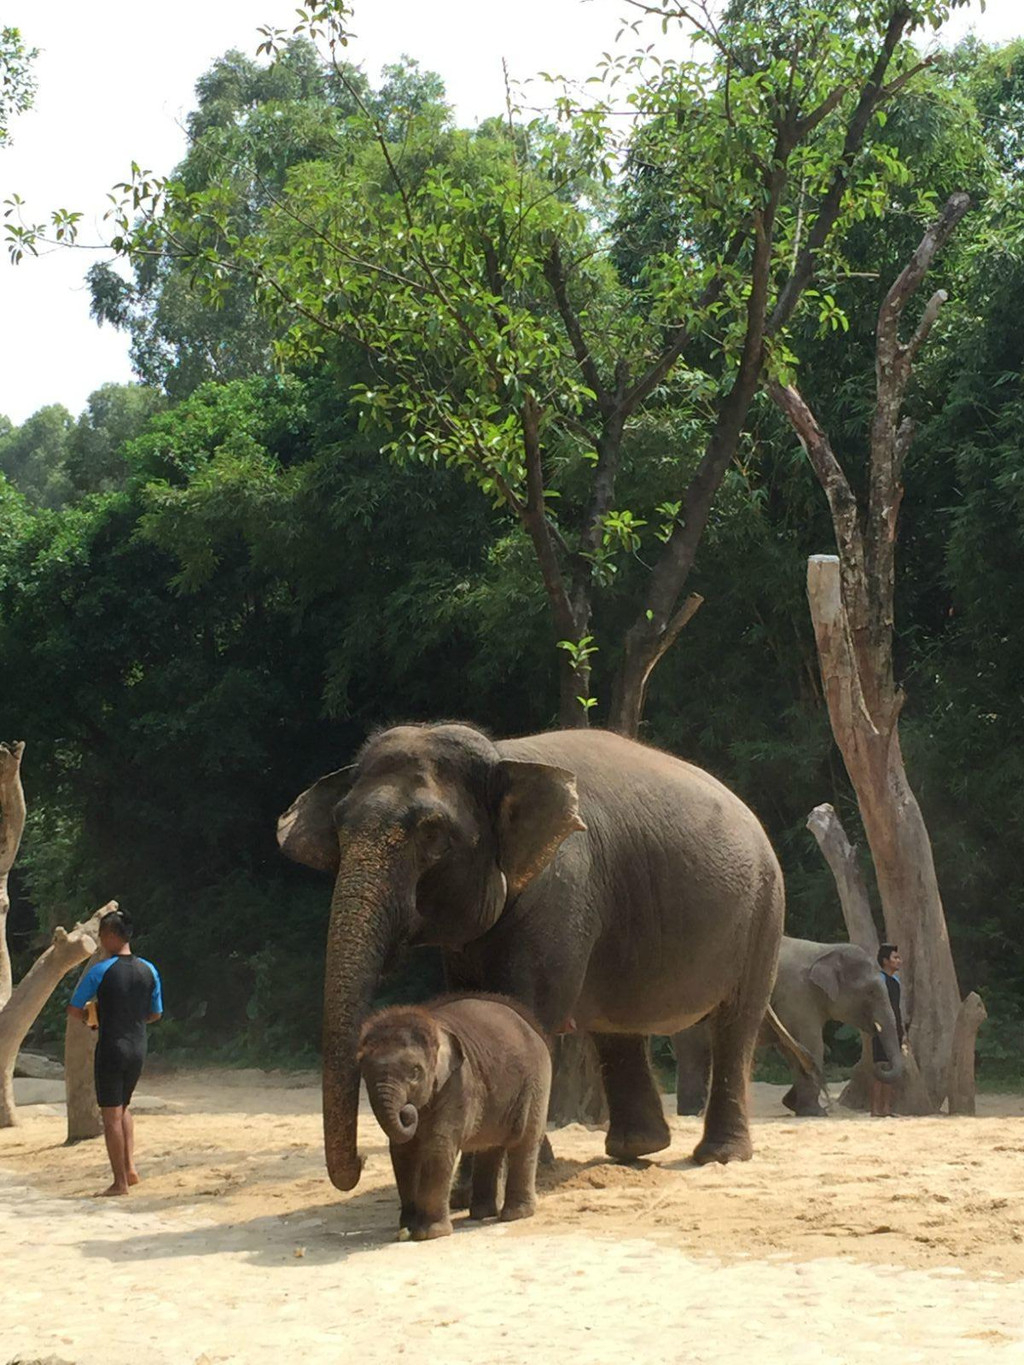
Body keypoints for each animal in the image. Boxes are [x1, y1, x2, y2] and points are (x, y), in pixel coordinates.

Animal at [278, 720, 786, 1190]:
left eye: (433, 834)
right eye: (339, 829)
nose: (363, 1162)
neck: (502, 756)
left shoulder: (561, 884)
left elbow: (527, 1005)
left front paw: (508, 1170)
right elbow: (475, 1000)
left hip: (765, 911)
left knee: (737, 1023)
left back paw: (718, 1156)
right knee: (618, 1028)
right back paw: (636, 1150)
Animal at [357, 993, 554, 1239]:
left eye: (415, 1072)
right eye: (364, 1072)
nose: (407, 1111)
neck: (434, 1024)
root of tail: (534, 1028)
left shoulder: (458, 1083)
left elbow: (438, 1146)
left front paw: (429, 1234)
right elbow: (403, 1151)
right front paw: (407, 1227)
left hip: (536, 1082)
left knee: (523, 1140)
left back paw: (515, 1215)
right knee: (490, 1146)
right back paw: (481, 1213)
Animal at [674, 939, 906, 1119]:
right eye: (871, 992)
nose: (882, 1064)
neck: (825, 949)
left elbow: (792, 1048)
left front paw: (792, 1104)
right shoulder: (798, 996)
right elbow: (812, 1045)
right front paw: (816, 1112)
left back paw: (693, 1111)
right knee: (694, 1054)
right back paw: (694, 1112)